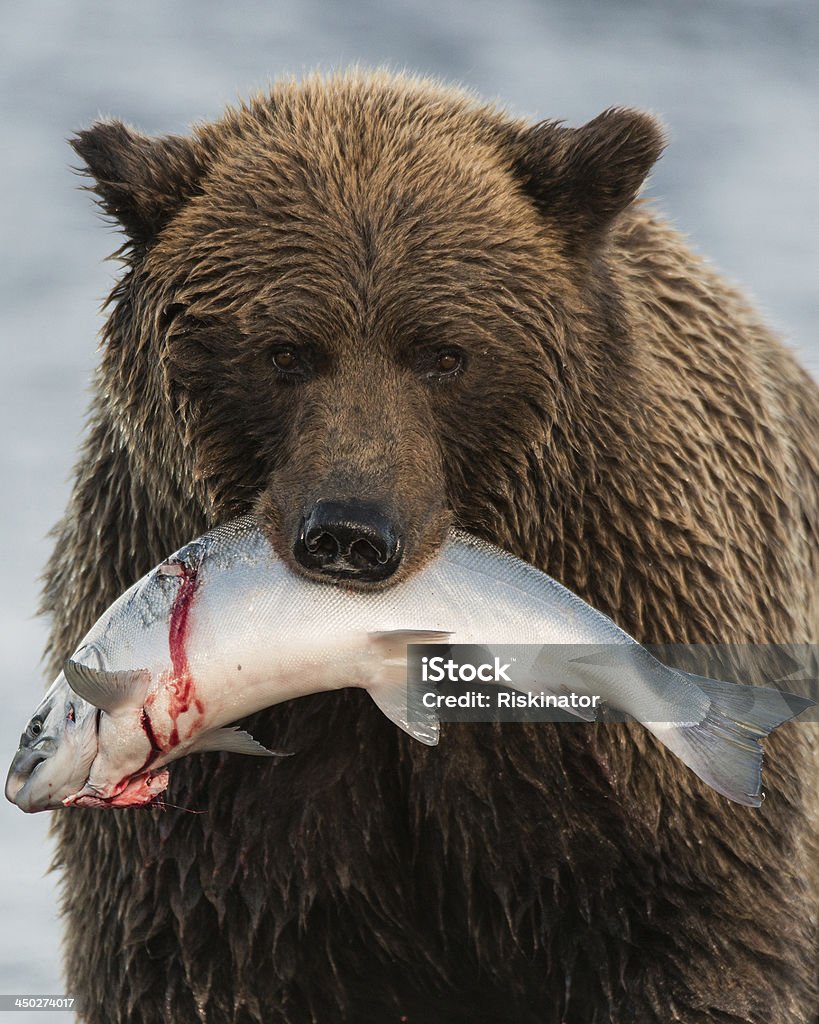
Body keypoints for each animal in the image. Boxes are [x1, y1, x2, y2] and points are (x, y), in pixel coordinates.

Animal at [46, 72, 818, 1024]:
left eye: (443, 353)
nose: (350, 531)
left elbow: (698, 948)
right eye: (283, 351)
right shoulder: (235, 816)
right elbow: (202, 949)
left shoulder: (626, 749)